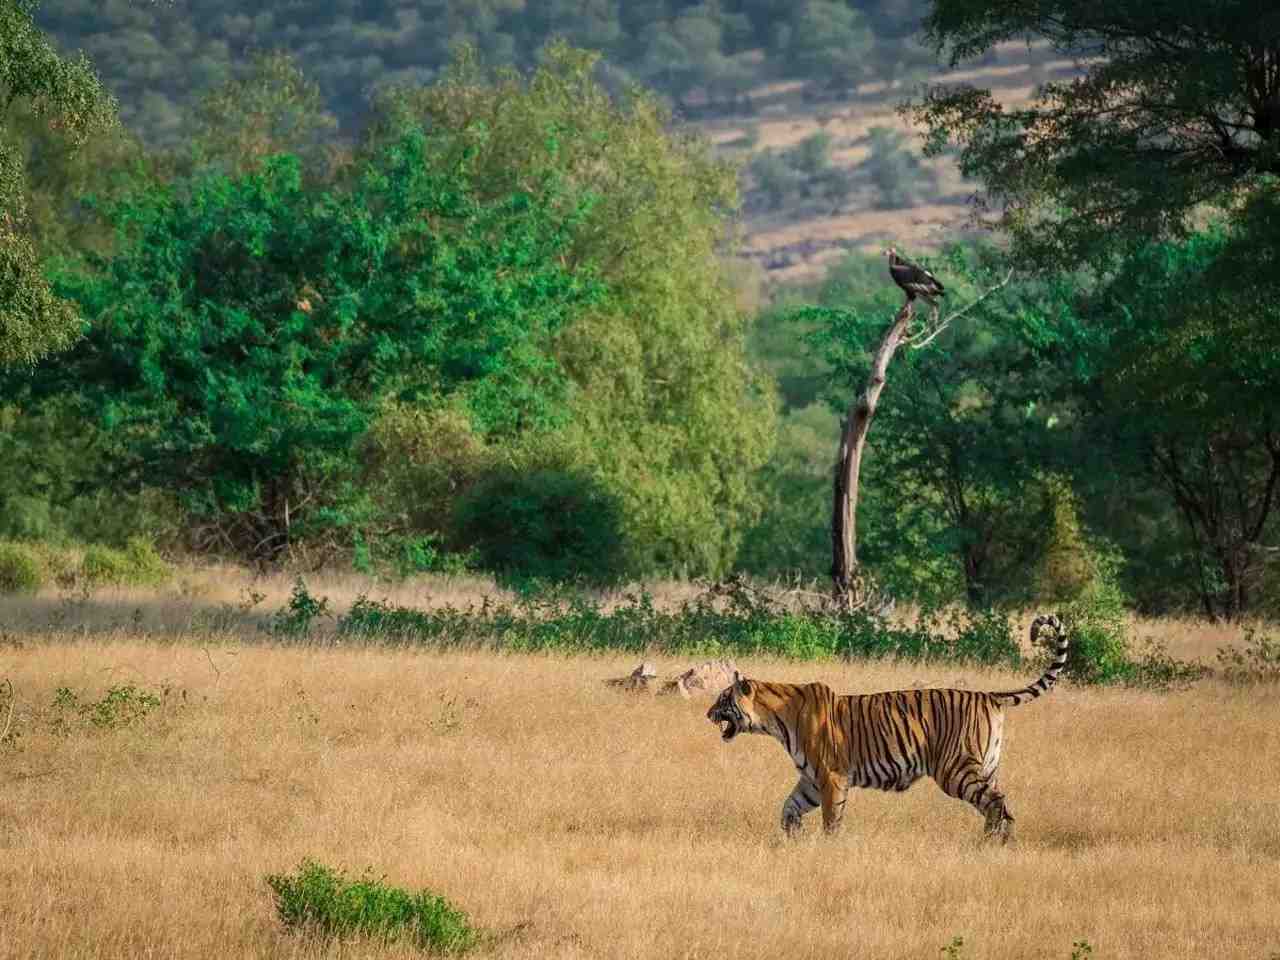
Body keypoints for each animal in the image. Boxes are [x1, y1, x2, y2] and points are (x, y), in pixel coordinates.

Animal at [706, 616, 1064, 839]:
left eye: (723, 698)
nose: (708, 714)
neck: (775, 720)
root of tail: (988, 695)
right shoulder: (810, 780)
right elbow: (788, 808)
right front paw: (792, 836)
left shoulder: (831, 776)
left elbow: (831, 819)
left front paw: (826, 847)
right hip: (986, 766)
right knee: (1004, 804)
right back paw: (1003, 842)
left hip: (955, 769)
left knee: (996, 802)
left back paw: (988, 842)